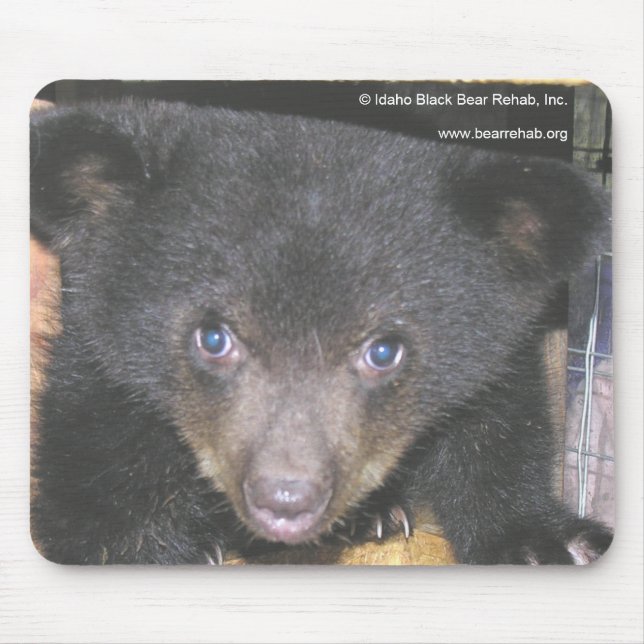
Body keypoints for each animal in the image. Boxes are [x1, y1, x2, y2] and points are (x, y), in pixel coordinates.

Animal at [30, 99, 613, 565]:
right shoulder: (101, 359)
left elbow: (497, 429)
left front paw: (547, 543)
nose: (286, 500)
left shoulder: (493, 361)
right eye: (213, 337)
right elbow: (101, 463)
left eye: (384, 350)